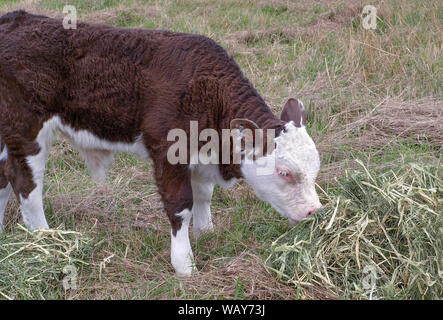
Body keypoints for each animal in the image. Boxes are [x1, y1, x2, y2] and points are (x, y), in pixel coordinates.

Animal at [0, 10, 320, 276]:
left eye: (315, 170)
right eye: (284, 172)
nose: (314, 211)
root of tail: (17, 18)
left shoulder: (202, 156)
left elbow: (204, 194)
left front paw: (206, 231)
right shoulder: (169, 151)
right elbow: (181, 204)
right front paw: (185, 264)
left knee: (3, 176)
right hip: (26, 128)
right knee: (25, 184)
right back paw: (47, 242)